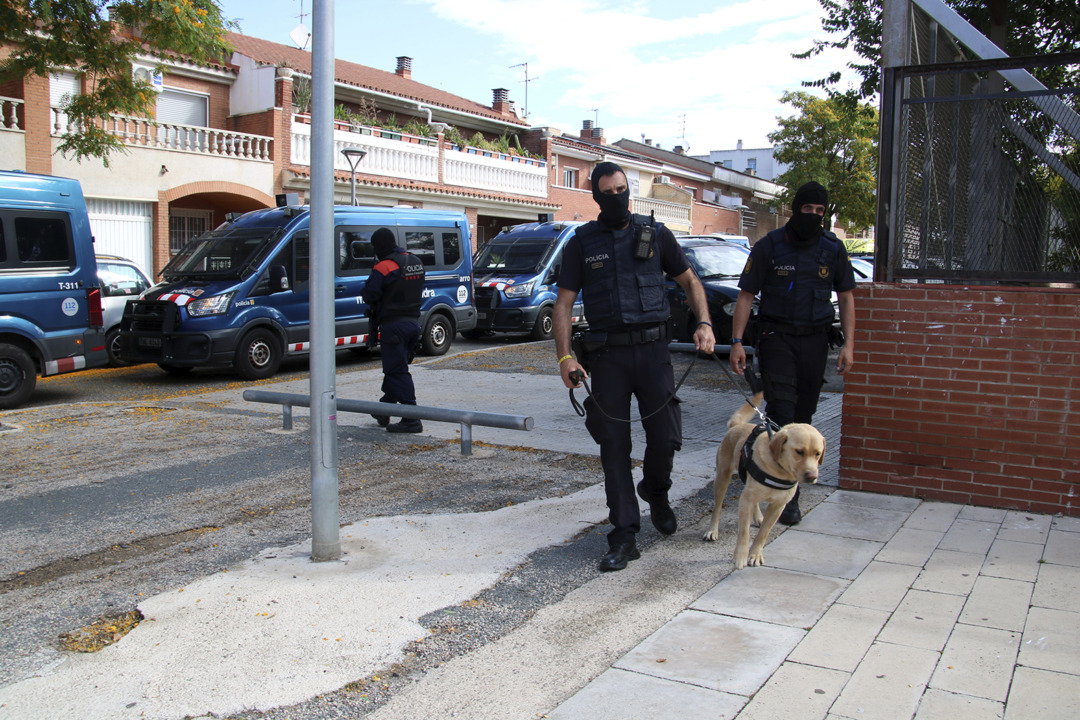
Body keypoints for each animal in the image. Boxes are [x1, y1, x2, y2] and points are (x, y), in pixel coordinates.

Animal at [704, 395, 820, 569]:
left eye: (818, 454)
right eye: (799, 451)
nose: (812, 476)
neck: (778, 470)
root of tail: (737, 426)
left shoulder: (778, 506)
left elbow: (764, 533)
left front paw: (755, 555)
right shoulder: (746, 500)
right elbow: (744, 532)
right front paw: (740, 558)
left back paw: (758, 517)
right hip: (722, 479)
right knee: (717, 507)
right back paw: (713, 530)